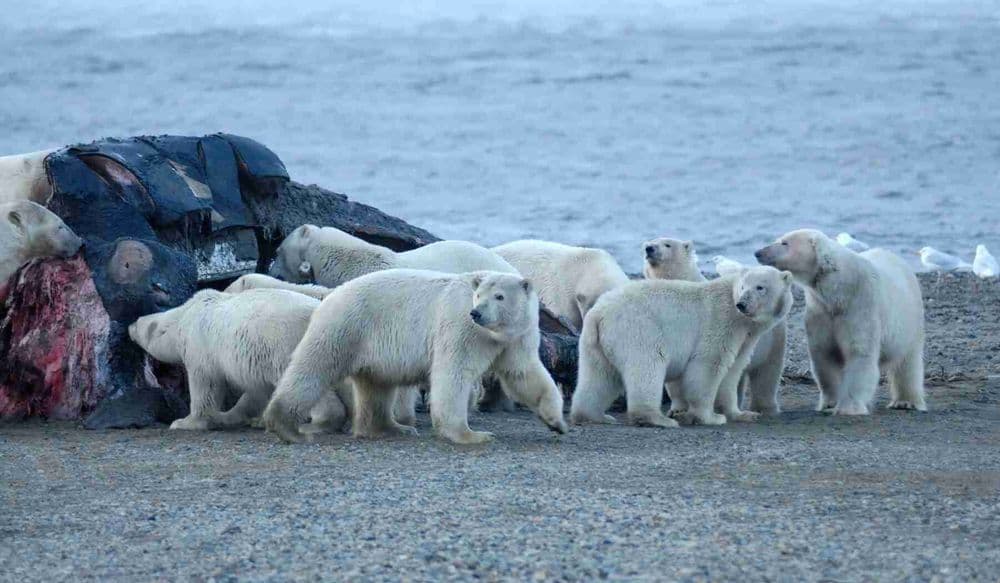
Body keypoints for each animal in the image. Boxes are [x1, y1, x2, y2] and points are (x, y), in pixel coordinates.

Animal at [128, 288, 352, 431]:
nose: (129, 326)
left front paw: (185, 422)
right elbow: (258, 392)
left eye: (139, 324)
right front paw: (242, 419)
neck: (186, 316)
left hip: (290, 343)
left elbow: (206, 385)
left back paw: (317, 423)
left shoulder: (201, 347)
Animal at [261, 269, 568, 445]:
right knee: (314, 367)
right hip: (347, 325)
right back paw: (287, 426)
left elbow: (524, 373)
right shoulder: (461, 327)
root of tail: (330, 295)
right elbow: (453, 373)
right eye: (478, 295)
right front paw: (471, 435)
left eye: (500, 296)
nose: (476, 313)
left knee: (377, 385)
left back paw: (392, 428)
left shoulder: (517, 336)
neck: (495, 333)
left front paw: (557, 422)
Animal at [569, 266, 794, 427]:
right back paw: (657, 419)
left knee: (599, 375)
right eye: (743, 287)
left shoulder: (744, 340)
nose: (742, 304)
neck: (740, 319)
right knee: (647, 367)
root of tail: (599, 313)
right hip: (639, 330)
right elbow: (707, 366)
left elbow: (731, 373)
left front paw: (741, 414)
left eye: (760, 287)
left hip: (594, 343)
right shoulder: (720, 323)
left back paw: (593, 415)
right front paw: (710, 417)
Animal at [643, 238, 789, 415]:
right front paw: (677, 409)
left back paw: (765, 408)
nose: (649, 248)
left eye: (667, 244)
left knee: (767, 372)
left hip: (771, 343)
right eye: (651, 241)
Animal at [755, 229, 926, 415]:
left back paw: (906, 401)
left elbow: (859, 352)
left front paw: (848, 407)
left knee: (908, 362)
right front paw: (830, 403)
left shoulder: (860, 307)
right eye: (778, 239)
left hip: (910, 319)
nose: (758, 252)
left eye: (785, 243)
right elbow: (824, 356)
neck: (840, 288)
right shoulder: (820, 311)